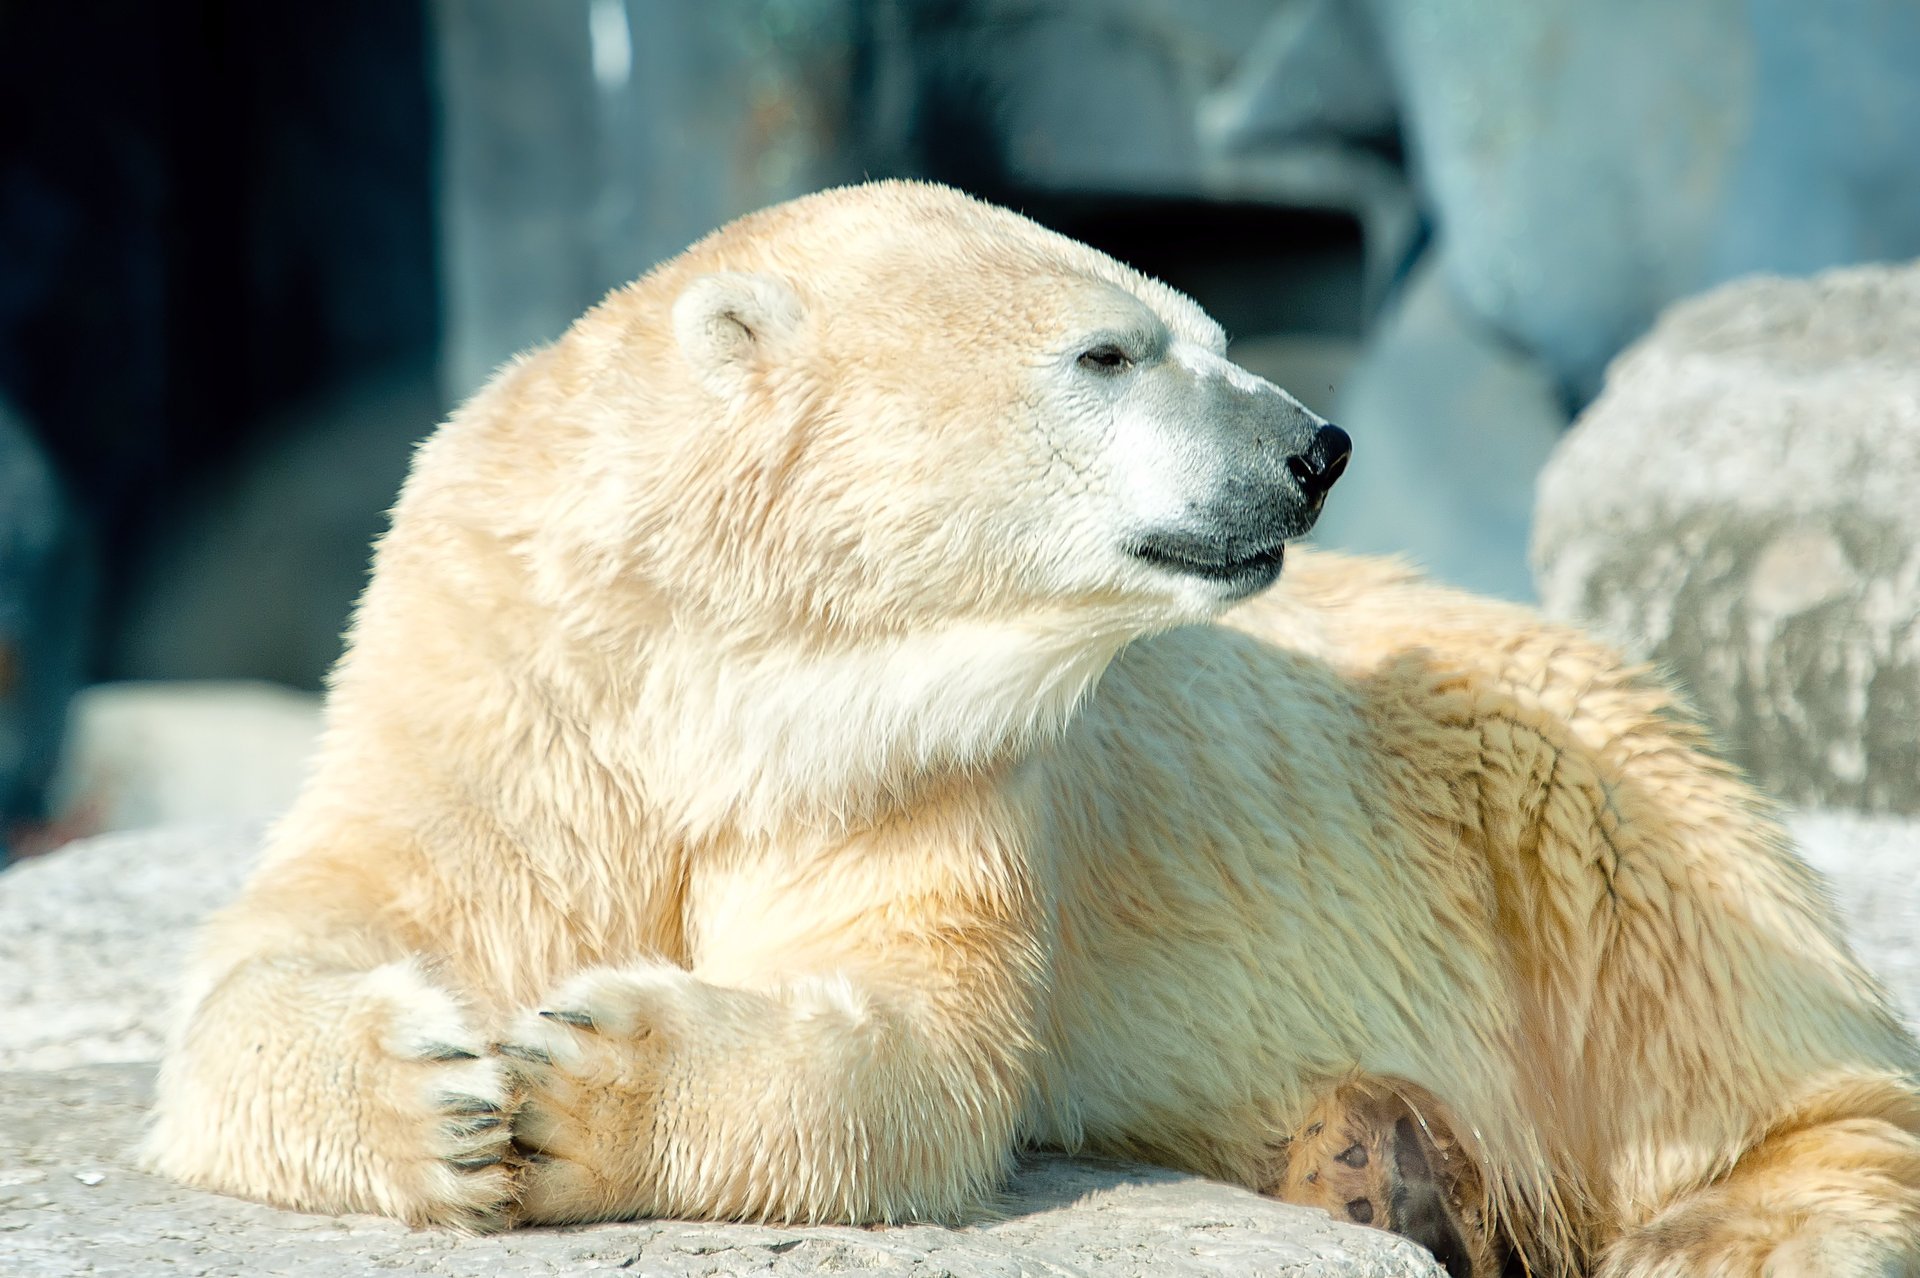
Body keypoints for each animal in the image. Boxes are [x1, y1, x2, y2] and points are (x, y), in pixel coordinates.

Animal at [147, 181, 1920, 1276]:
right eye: (1111, 350)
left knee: (1704, 984)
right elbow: (300, 943)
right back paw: (1371, 1160)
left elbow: (914, 1042)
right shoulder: (493, 681)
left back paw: (1715, 1224)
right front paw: (441, 1093)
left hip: (1535, 754)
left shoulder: (909, 761)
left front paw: (574, 1079)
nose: (1316, 444)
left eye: (1209, 330)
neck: (699, 659)